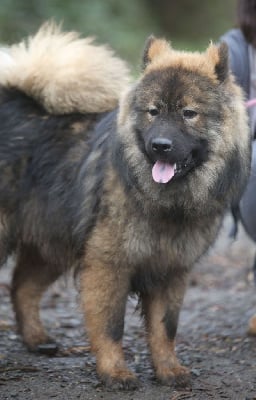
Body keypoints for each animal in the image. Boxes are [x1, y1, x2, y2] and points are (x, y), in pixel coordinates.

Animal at [0, 23, 251, 390]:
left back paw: (38, 340)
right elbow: (110, 326)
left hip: (53, 240)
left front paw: (169, 370)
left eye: (189, 113)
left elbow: (165, 328)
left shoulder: (172, 270)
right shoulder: (109, 264)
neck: (167, 205)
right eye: (154, 111)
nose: (160, 145)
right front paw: (115, 372)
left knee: (23, 286)